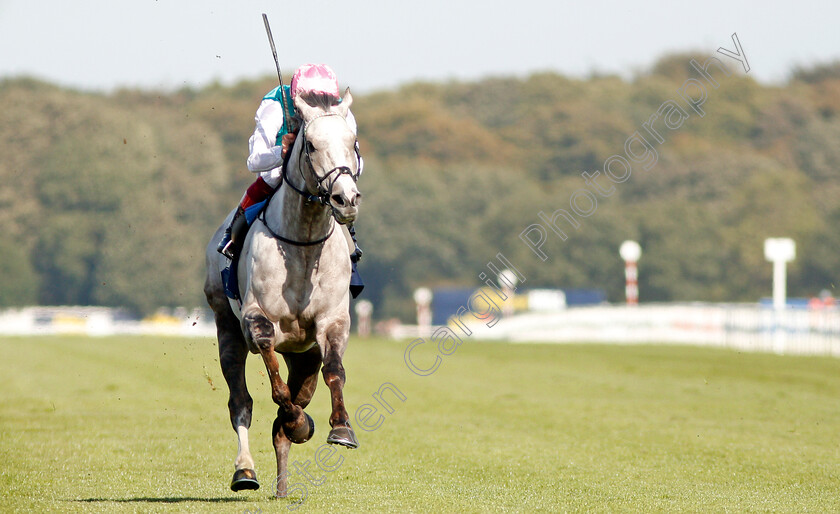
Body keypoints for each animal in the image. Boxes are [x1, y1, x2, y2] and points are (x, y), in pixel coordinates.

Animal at [206, 89, 360, 496]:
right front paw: (297, 420)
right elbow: (276, 389)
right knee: (240, 402)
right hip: (226, 327)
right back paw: (246, 470)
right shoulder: (255, 319)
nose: (346, 199)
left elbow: (335, 371)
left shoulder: (332, 320)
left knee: (297, 399)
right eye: (311, 145)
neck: (303, 245)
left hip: (303, 355)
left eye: (353, 142)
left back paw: (283, 483)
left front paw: (341, 428)